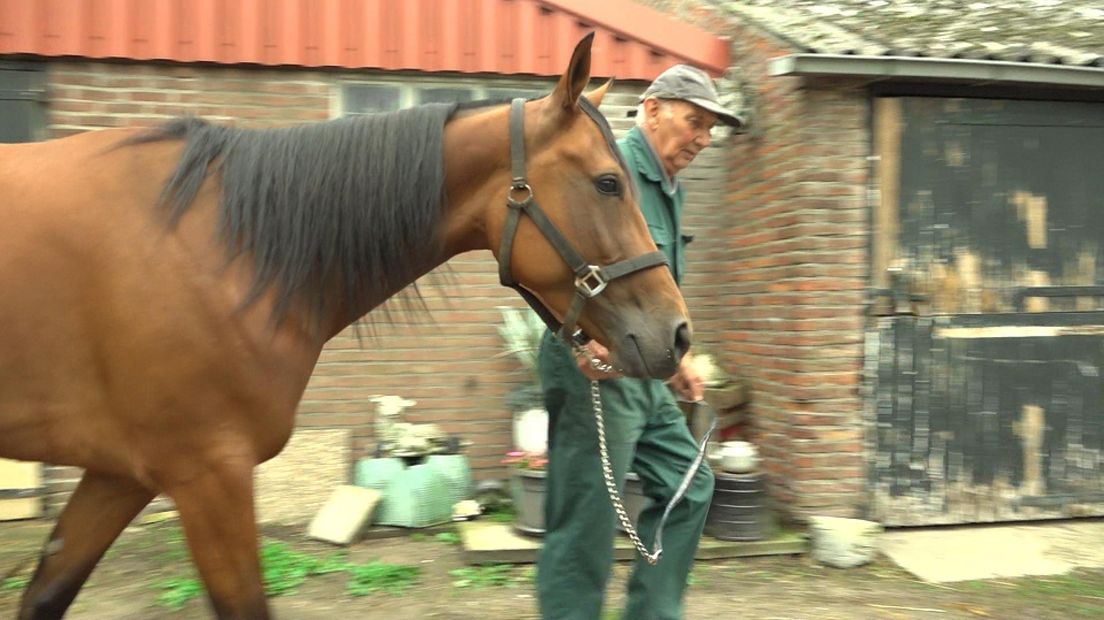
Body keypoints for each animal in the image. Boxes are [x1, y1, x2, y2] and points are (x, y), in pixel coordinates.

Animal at [0, 35, 688, 617]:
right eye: (608, 183)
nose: (677, 334)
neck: (219, 248)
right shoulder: (208, 475)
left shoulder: (118, 475)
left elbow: (46, 593)